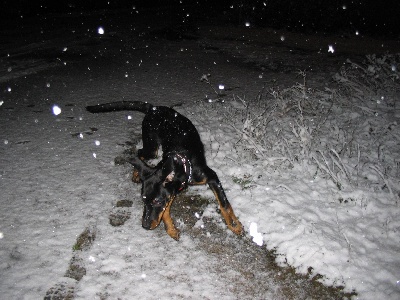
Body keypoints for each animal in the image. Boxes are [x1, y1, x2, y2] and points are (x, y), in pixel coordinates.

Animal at [86, 101, 244, 239]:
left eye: (156, 201)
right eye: (143, 200)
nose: (145, 226)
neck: (181, 162)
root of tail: (153, 108)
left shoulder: (210, 176)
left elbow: (224, 204)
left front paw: (234, 225)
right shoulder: (172, 190)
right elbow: (165, 211)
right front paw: (171, 230)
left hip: (152, 149)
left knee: (140, 153)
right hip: (151, 146)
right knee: (139, 152)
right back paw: (137, 173)